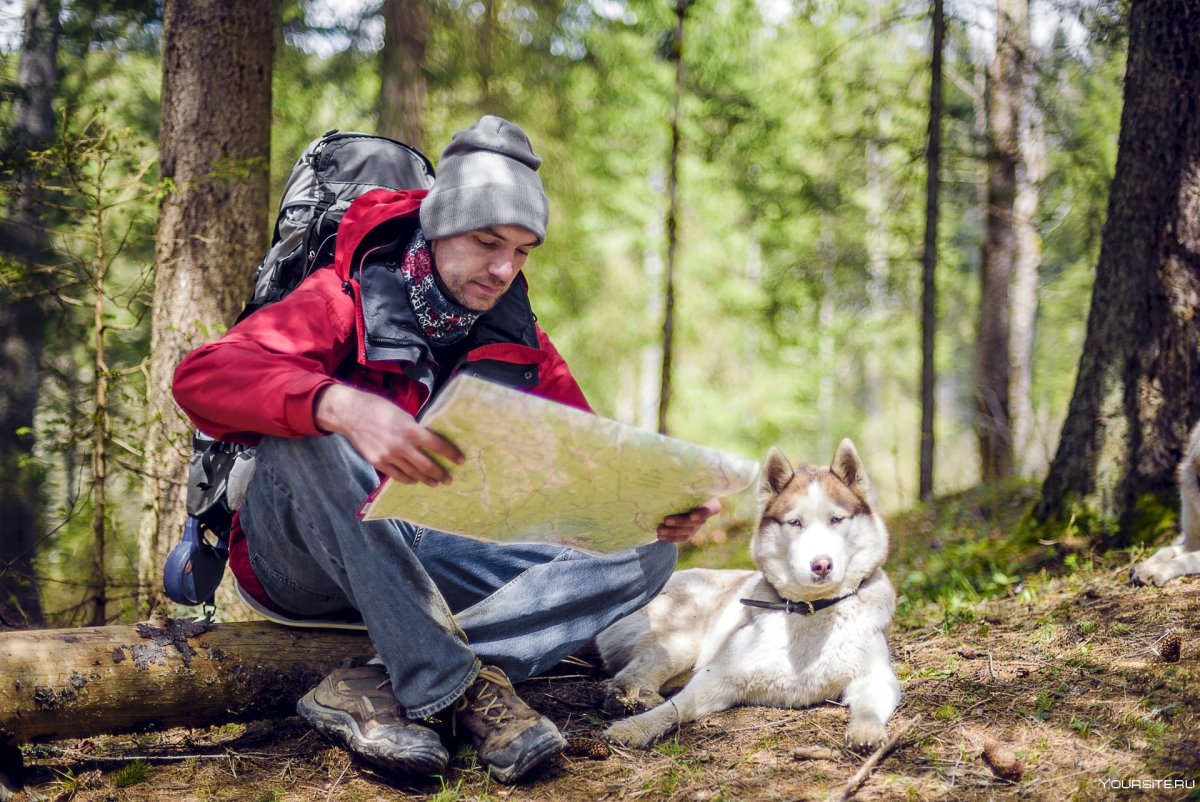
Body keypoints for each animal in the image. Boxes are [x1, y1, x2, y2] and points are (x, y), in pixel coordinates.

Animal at [595, 441, 897, 749]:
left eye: (837, 519)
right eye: (795, 523)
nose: (821, 565)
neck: (810, 608)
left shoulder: (876, 677)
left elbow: (869, 707)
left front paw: (867, 730)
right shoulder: (718, 675)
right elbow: (676, 707)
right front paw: (636, 727)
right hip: (680, 639)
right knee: (630, 674)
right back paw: (633, 699)